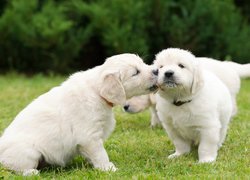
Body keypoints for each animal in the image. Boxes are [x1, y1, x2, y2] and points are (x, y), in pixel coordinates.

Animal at [0, 53, 158, 176]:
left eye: (143, 63)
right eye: (135, 72)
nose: (156, 70)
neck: (97, 91)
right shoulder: (90, 137)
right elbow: (100, 154)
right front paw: (108, 168)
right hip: (28, 152)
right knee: (14, 168)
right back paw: (32, 172)